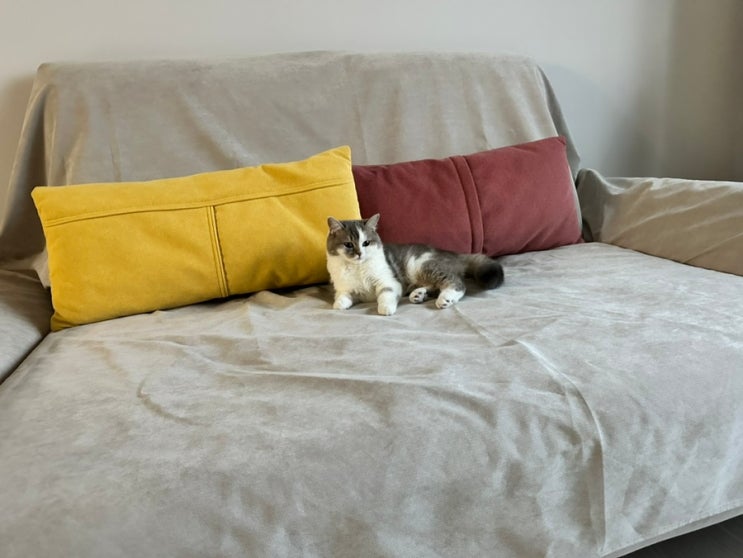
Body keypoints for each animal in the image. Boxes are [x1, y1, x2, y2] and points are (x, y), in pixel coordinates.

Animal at [326, 213, 504, 315]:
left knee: (455, 283)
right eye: (348, 244)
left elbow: (386, 294)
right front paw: (339, 305)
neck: (358, 267)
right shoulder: (345, 288)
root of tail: (452, 253)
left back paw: (445, 299)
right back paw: (418, 295)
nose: (359, 254)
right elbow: (342, 297)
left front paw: (385, 308)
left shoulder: (388, 281)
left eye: (366, 243)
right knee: (434, 286)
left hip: (423, 265)